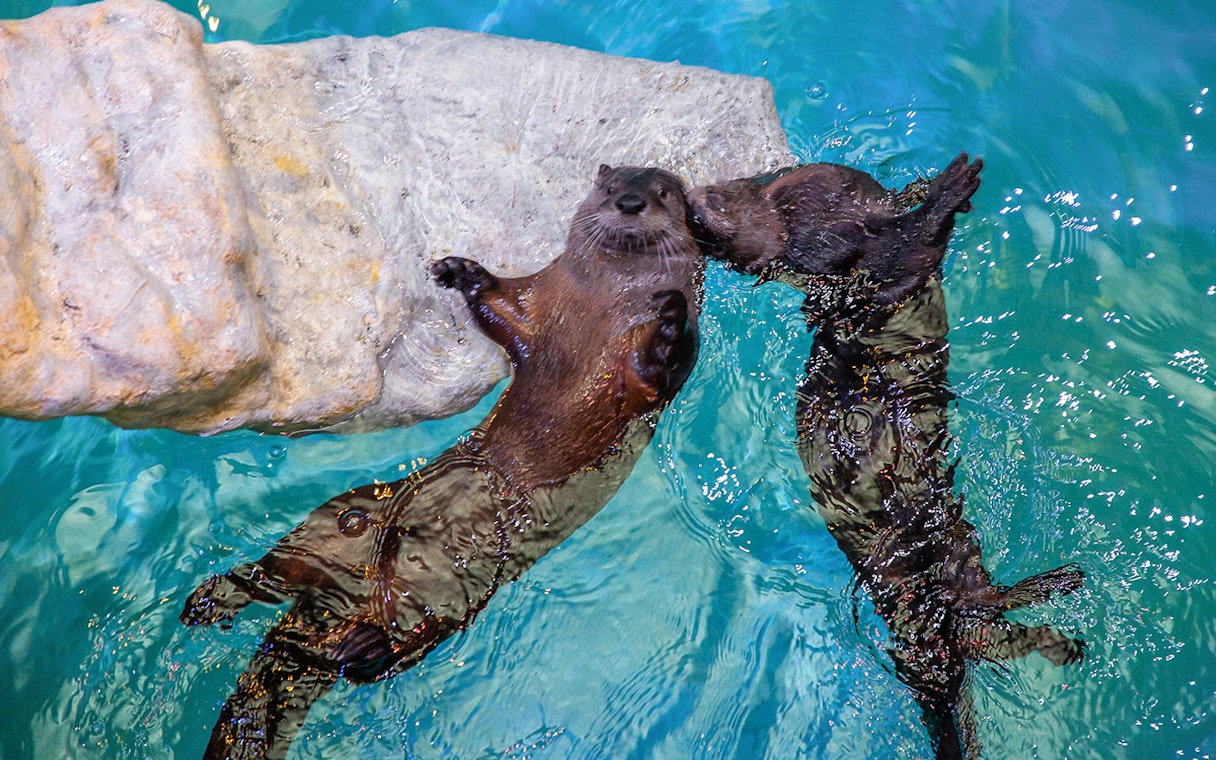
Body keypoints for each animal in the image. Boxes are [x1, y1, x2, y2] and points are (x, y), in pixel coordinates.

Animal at [180, 164, 704, 760]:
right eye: (611, 185)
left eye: (662, 192)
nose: (632, 202)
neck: (599, 309)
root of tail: (347, 607)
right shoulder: (536, 305)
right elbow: (497, 308)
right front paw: (459, 271)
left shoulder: (641, 383)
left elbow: (659, 369)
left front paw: (668, 322)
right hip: (347, 515)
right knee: (279, 569)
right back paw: (211, 601)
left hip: (453, 603)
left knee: (382, 653)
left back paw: (355, 645)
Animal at [691, 155, 1085, 759]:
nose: (695, 203)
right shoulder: (865, 272)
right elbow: (909, 249)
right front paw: (953, 183)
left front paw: (930, 187)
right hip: (921, 597)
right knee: (982, 632)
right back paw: (1061, 635)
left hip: (957, 553)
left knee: (987, 614)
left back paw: (1057, 587)